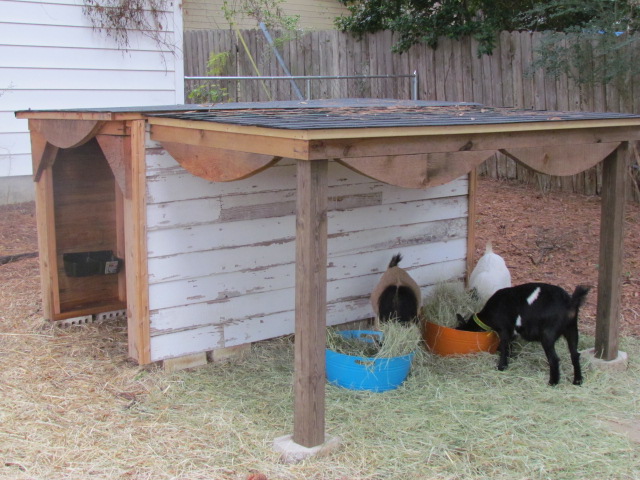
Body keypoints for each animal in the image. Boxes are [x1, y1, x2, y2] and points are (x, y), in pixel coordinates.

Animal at [456, 284, 592, 384]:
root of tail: (570, 303)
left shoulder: (504, 329)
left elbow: (504, 346)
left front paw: (501, 366)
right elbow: (509, 345)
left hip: (548, 334)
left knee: (554, 358)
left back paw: (552, 382)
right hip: (572, 330)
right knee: (575, 354)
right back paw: (577, 381)